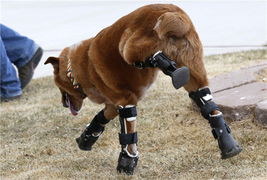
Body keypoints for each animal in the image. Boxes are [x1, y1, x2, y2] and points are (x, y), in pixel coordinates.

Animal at [46, 3, 243, 174]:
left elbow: (128, 134)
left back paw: (168, 67)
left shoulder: (124, 101)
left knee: (152, 56)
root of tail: (171, 12)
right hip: (194, 74)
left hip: (128, 46)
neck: (78, 68)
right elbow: (100, 118)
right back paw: (228, 146)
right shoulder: (113, 104)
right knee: (208, 105)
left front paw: (126, 161)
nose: (63, 104)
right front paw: (86, 138)